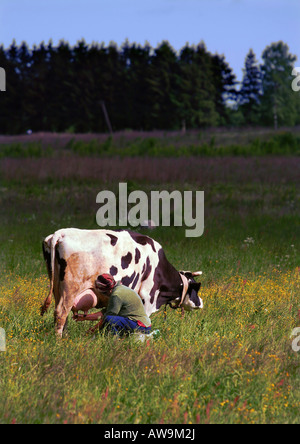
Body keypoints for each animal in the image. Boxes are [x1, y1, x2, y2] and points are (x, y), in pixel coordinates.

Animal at [40, 229, 204, 336]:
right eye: (196, 288)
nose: (201, 302)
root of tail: (60, 233)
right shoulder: (147, 299)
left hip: (57, 289)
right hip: (70, 289)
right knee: (61, 313)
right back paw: (59, 341)